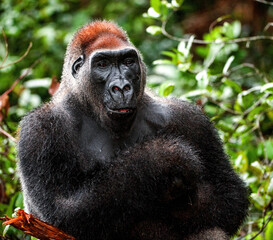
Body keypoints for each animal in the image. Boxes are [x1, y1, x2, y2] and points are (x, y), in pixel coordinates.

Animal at [17, 21, 248, 240]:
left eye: (128, 61)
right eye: (102, 64)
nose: (121, 87)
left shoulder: (189, 118)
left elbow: (230, 197)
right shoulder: (38, 131)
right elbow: (60, 211)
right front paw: (163, 158)